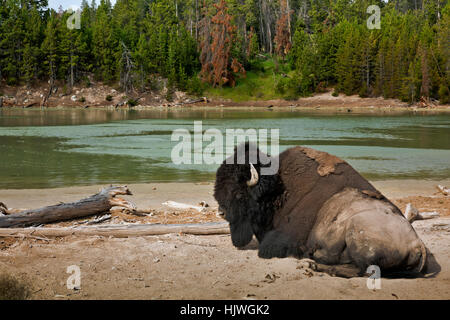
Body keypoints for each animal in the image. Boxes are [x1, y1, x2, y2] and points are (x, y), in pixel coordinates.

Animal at [214, 143, 428, 278]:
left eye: (238, 193)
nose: (221, 212)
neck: (277, 188)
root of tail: (418, 245)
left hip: (357, 233)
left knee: (362, 270)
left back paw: (313, 263)